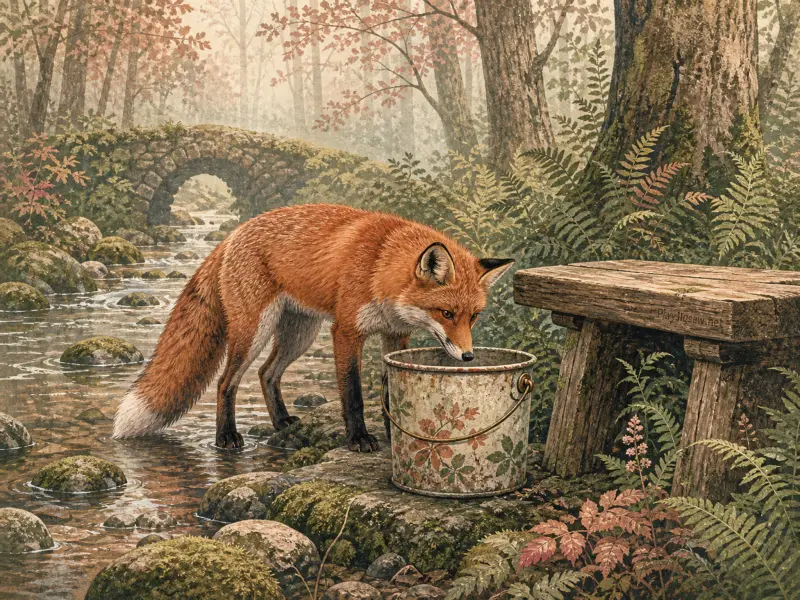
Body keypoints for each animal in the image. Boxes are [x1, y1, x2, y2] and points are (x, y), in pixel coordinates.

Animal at [113, 203, 514, 451]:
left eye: (473, 316)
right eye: (446, 313)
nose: (468, 356)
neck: (379, 265)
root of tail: (232, 234)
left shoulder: (394, 336)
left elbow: (389, 395)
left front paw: (394, 437)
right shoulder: (346, 331)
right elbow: (352, 394)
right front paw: (359, 440)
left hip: (299, 335)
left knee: (266, 373)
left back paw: (281, 422)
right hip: (255, 331)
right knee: (228, 382)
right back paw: (226, 436)